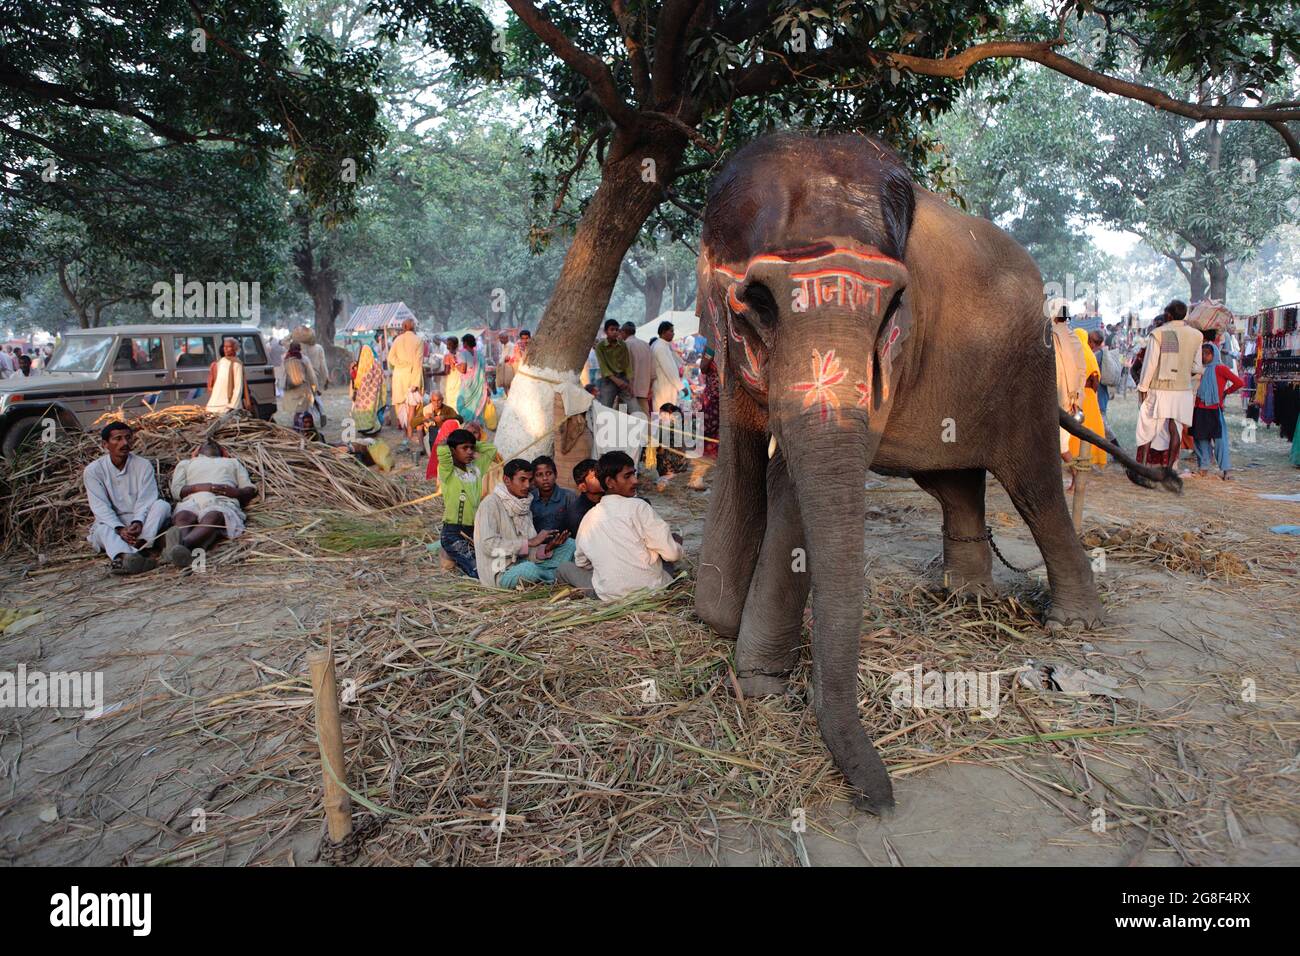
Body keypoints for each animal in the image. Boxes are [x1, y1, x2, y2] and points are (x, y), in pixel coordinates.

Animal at [696, 128, 1175, 816]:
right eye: (755, 303)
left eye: (895, 304)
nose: (882, 801)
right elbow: (746, 451)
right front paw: (719, 626)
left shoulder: (890, 356)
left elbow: (792, 482)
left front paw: (759, 683)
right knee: (955, 484)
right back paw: (965, 597)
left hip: (1026, 375)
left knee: (1034, 488)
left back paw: (1071, 622)